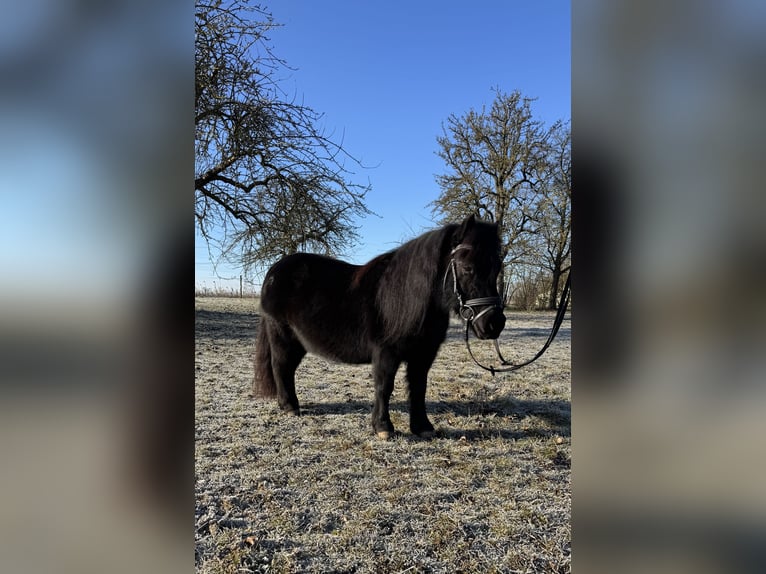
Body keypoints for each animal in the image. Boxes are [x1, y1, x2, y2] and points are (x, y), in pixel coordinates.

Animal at [252, 216, 508, 440]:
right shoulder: (386, 352)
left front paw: (422, 427)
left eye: (497, 268)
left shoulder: (423, 354)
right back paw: (289, 406)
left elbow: (419, 387)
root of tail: (274, 271)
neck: (408, 299)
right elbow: (384, 386)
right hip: (282, 336)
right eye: (467, 268)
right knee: (281, 367)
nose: (494, 323)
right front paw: (383, 428)